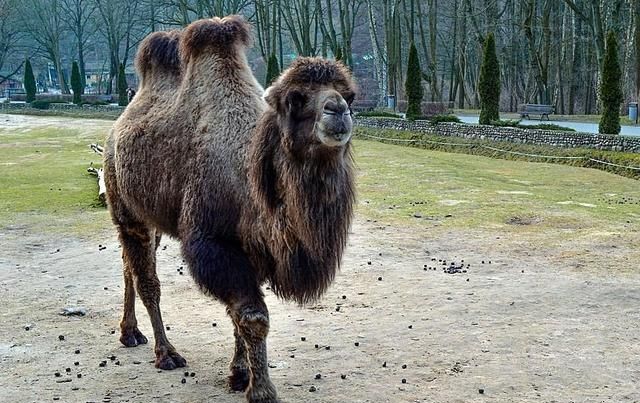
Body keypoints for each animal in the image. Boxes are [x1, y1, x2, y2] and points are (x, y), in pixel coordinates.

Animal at [103, 15, 358, 403]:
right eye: (295, 98)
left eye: (349, 94)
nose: (338, 110)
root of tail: (116, 128)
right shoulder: (214, 243)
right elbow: (252, 316)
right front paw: (261, 390)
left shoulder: (253, 247)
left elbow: (237, 315)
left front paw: (240, 375)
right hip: (124, 206)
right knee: (146, 279)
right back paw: (166, 353)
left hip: (153, 218)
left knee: (128, 267)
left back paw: (130, 333)